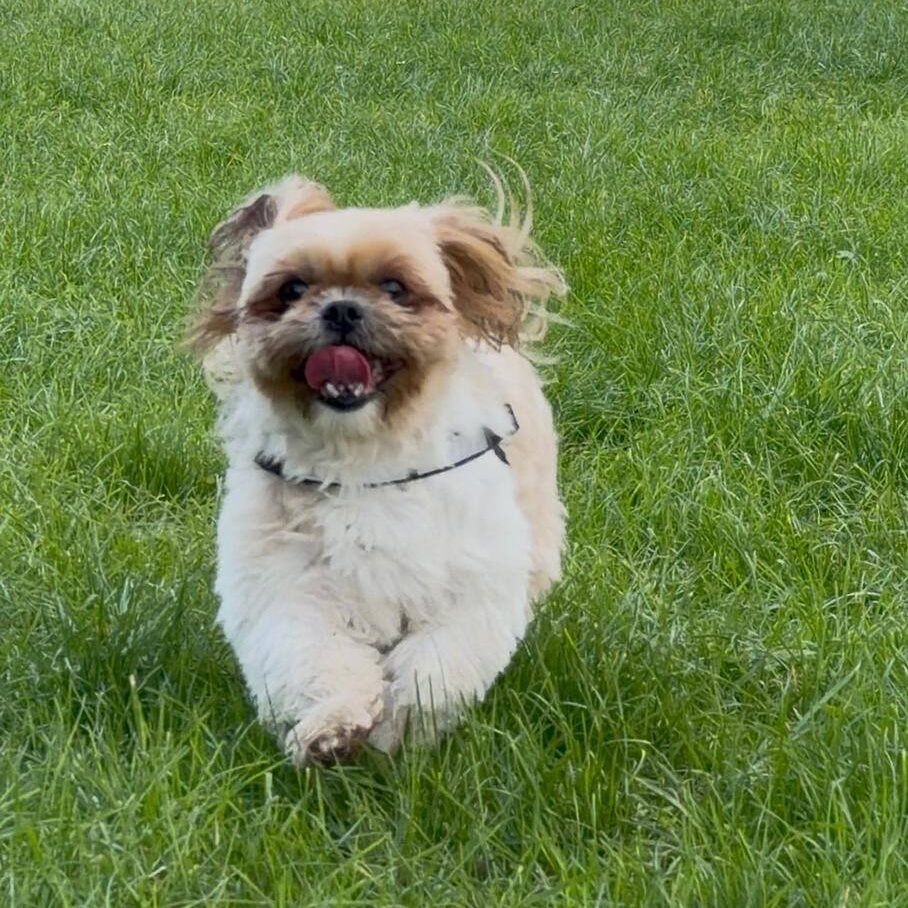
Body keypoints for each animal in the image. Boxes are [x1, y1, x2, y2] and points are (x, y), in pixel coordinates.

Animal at [188, 175, 565, 765]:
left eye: (394, 286)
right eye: (292, 289)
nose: (341, 309)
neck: (362, 464)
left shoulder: (468, 586)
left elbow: (435, 669)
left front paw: (402, 729)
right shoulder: (286, 587)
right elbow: (316, 660)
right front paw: (332, 731)